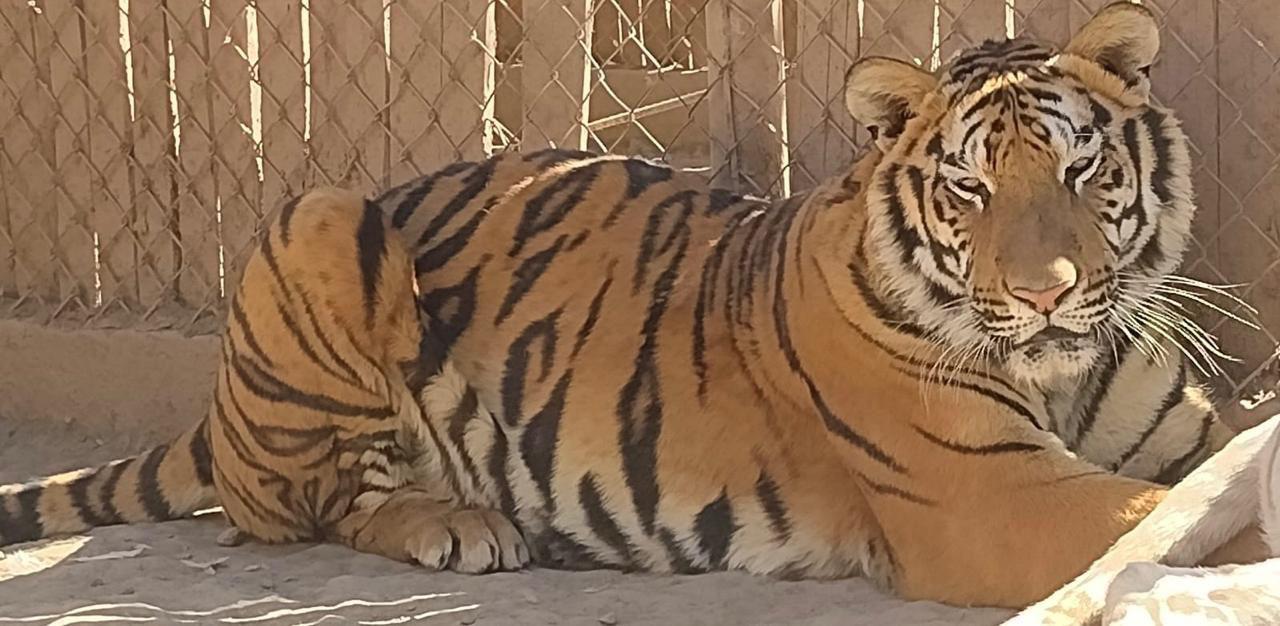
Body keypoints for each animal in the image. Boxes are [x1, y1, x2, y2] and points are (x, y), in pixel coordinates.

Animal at [1, 1, 1272, 613]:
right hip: (320, 218)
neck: (1060, 367)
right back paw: (454, 521)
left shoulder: (1182, 441)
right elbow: (1164, 527)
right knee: (297, 508)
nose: (1041, 292)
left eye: (1078, 170)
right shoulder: (993, 498)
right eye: (968, 188)